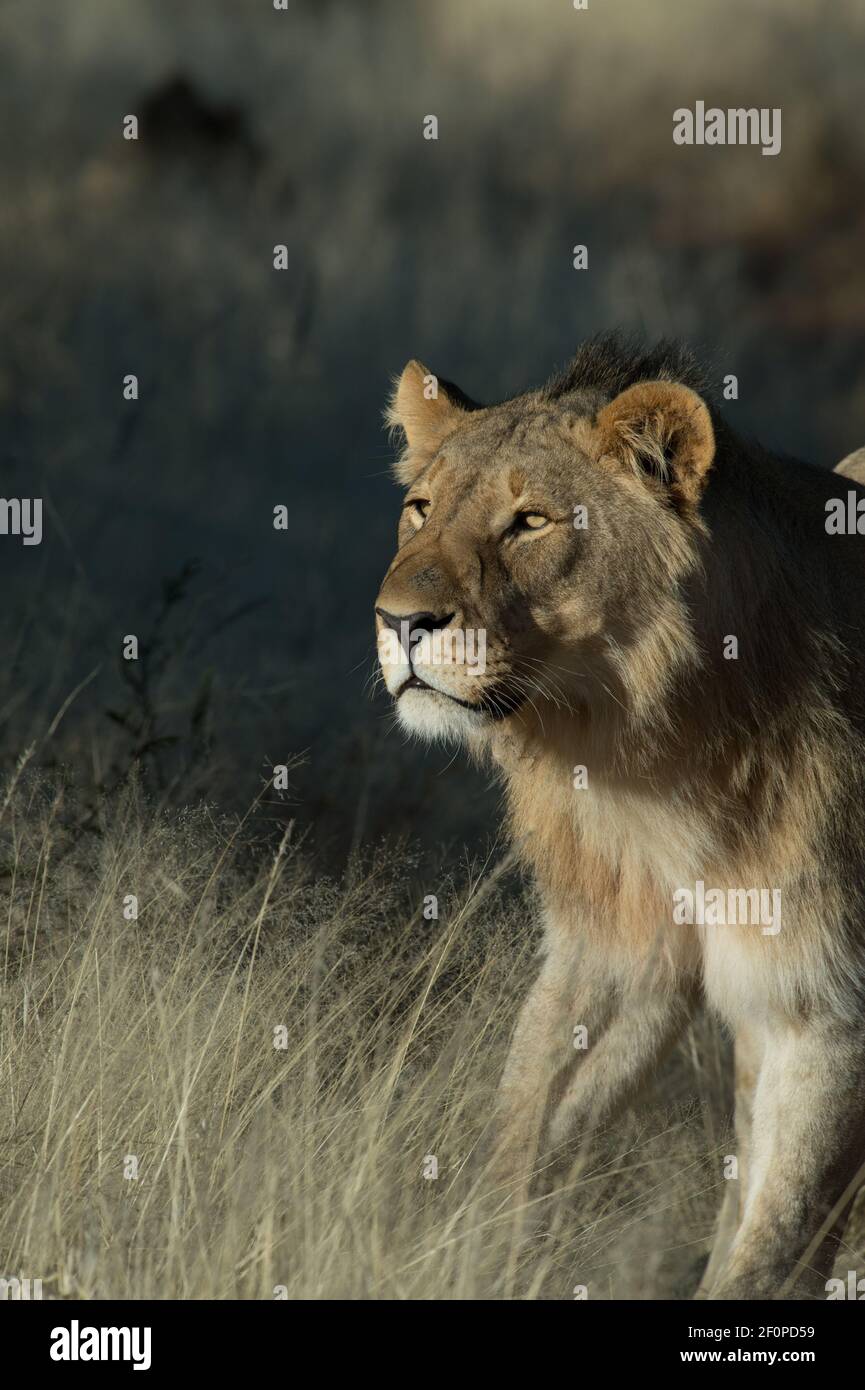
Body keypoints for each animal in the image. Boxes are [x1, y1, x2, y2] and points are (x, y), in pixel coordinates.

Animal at [375, 336, 865, 1301]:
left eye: (529, 522)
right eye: (418, 509)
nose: (398, 623)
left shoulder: (826, 1009)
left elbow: (772, 1246)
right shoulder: (614, 948)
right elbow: (525, 1132)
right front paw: (463, 1260)